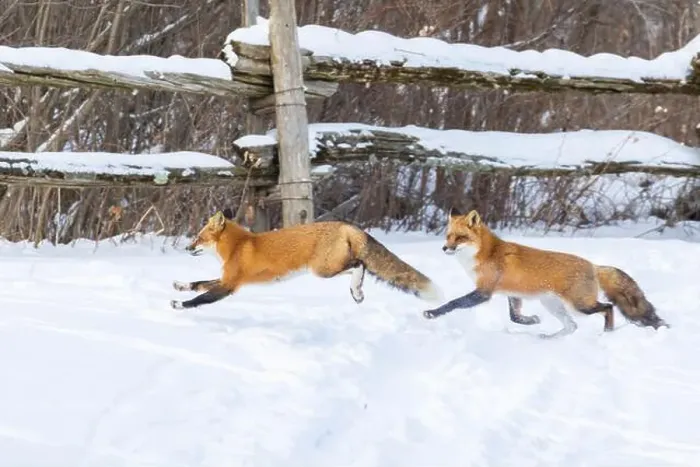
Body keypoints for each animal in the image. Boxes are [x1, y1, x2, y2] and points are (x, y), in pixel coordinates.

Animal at [170, 211, 441, 310]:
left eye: (198, 238)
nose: (186, 247)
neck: (239, 245)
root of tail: (347, 225)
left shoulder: (230, 285)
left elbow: (201, 298)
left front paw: (179, 305)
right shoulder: (225, 278)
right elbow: (198, 284)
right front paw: (181, 286)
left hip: (322, 270)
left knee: (360, 264)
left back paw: (357, 291)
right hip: (326, 269)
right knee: (359, 265)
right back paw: (357, 292)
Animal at [422, 208, 668, 338]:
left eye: (460, 237)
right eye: (448, 236)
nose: (445, 248)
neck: (486, 254)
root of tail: (593, 265)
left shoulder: (484, 292)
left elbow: (453, 303)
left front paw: (432, 313)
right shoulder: (512, 293)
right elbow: (515, 316)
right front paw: (532, 321)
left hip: (580, 305)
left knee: (607, 308)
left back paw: (606, 333)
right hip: (552, 305)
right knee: (572, 326)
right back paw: (548, 339)